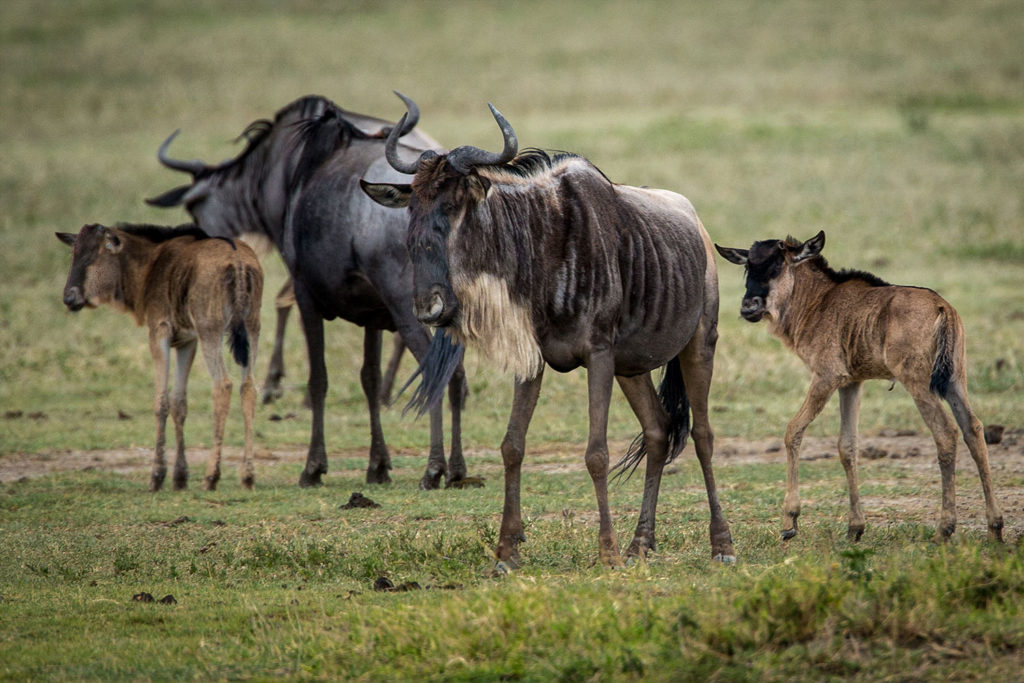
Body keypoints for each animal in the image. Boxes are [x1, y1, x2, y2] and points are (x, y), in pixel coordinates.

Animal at [55, 223, 264, 491]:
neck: (150, 265)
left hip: (211, 330)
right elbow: (179, 403)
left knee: (223, 385)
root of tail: (238, 263)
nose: (68, 298)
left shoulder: (159, 333)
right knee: (248, 387)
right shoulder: (187, 341)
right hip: (252, 328)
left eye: (92, 256)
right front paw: (180, 477)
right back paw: (247, 476)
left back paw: (211, 476)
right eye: (74, 254)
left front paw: (157, 476)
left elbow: (161, 402)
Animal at [716, 232, 1003, 540]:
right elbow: (847, 446)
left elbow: (793, 430)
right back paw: (995, 528)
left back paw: (944, 530)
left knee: (946, 433)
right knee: (973, 429)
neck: (817, 302)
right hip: (955, 380)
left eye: (778, 265)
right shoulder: (852, 382)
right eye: (748, 266)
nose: (749, 306)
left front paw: (790, 521)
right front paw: (855, 527)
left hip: (918, 382)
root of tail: (943, 307)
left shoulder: (826, 376)